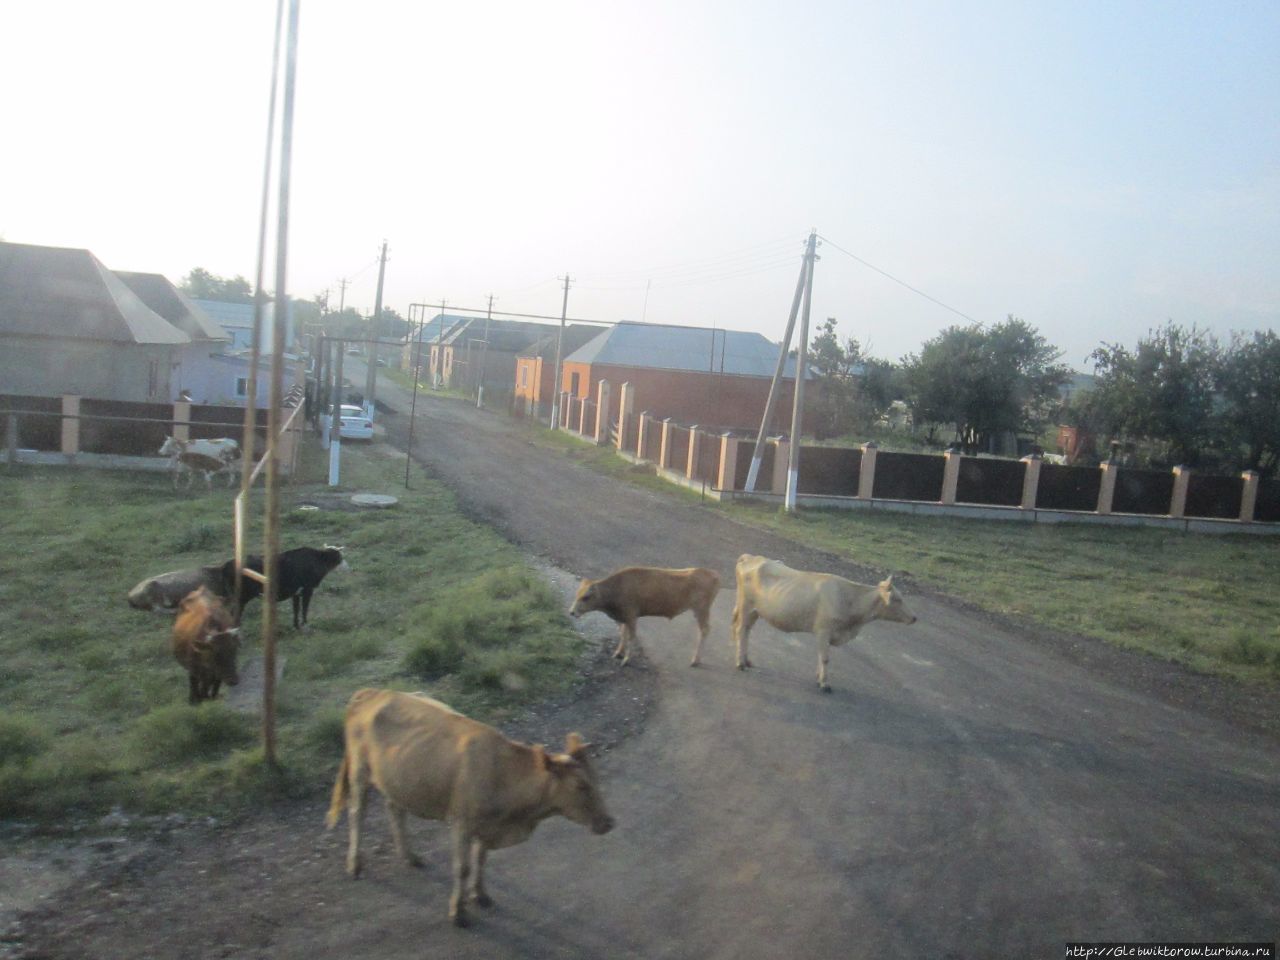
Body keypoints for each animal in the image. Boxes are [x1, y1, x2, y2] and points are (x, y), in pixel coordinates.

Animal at [325, 686, 614, 926]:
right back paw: (355, 864)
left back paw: (410, 856)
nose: (609, 822)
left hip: (397, 778)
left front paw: (481, 895)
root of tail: (373, 692)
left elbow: (481, 859)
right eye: (581, 786)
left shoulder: (488, 826)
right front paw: (458, 912)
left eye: (596, 779)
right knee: (357, 813)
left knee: (395, 809)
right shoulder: (462, 822)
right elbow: (462, 868)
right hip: (360, 770)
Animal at [570, 563, 721, 670]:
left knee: (704, 630)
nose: (571, 612)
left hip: (701, 610)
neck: (618, 587)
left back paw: (695, 661)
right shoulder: (624, 618)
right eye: (577, 594)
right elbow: (623, 634)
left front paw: (626, 660)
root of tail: (713, 574)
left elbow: (631, 637)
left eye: (586, 597)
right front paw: (618, 653)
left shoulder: (631, 616)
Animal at [737, 552, 916, 696]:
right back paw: (740, 663)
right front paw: (824, 683)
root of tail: (751, 557)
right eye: (897, 599)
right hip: (746, 605)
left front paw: (819, 678)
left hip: (755, 611)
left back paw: (747, 660)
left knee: (747, 630)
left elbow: (820, 656)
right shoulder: (824, 630)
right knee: (740, 630)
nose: (914, 617)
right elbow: (824, 658)